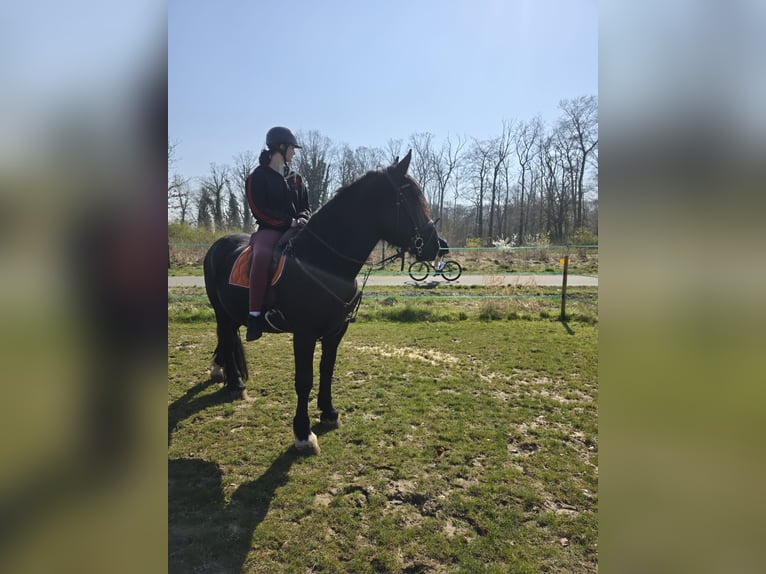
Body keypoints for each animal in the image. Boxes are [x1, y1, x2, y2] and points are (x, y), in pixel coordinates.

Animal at [203, 151, 442, 454]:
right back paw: (234, 383)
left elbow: (327, 369)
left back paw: (224, 373)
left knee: (228, 338)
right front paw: (303, 434)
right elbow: (304, 380)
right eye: (408, 197)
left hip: (232, 312)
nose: (438, 246)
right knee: (224, 336)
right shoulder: (304, 334)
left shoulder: (335, 331)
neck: (323, 261)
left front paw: (329, 412)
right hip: (221, 312)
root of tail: (217, 246)